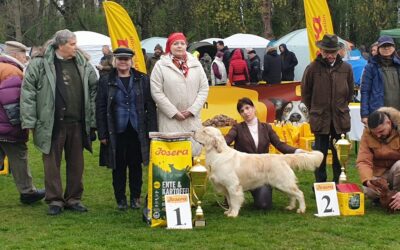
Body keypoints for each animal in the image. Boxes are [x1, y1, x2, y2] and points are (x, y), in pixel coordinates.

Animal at [195, 127, 324, 217]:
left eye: (205, 131)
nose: (193, 132)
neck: (217, 154)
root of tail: (282, 157)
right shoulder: (226, 188)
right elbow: (230, 202)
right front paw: (228, 211)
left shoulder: (233, 186)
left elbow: (235, 201)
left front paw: (233, 214)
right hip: (281, 184)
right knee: (292, 195)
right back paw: (290, 207)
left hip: (283, 183)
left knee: (299, 193)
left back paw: (301, 209)